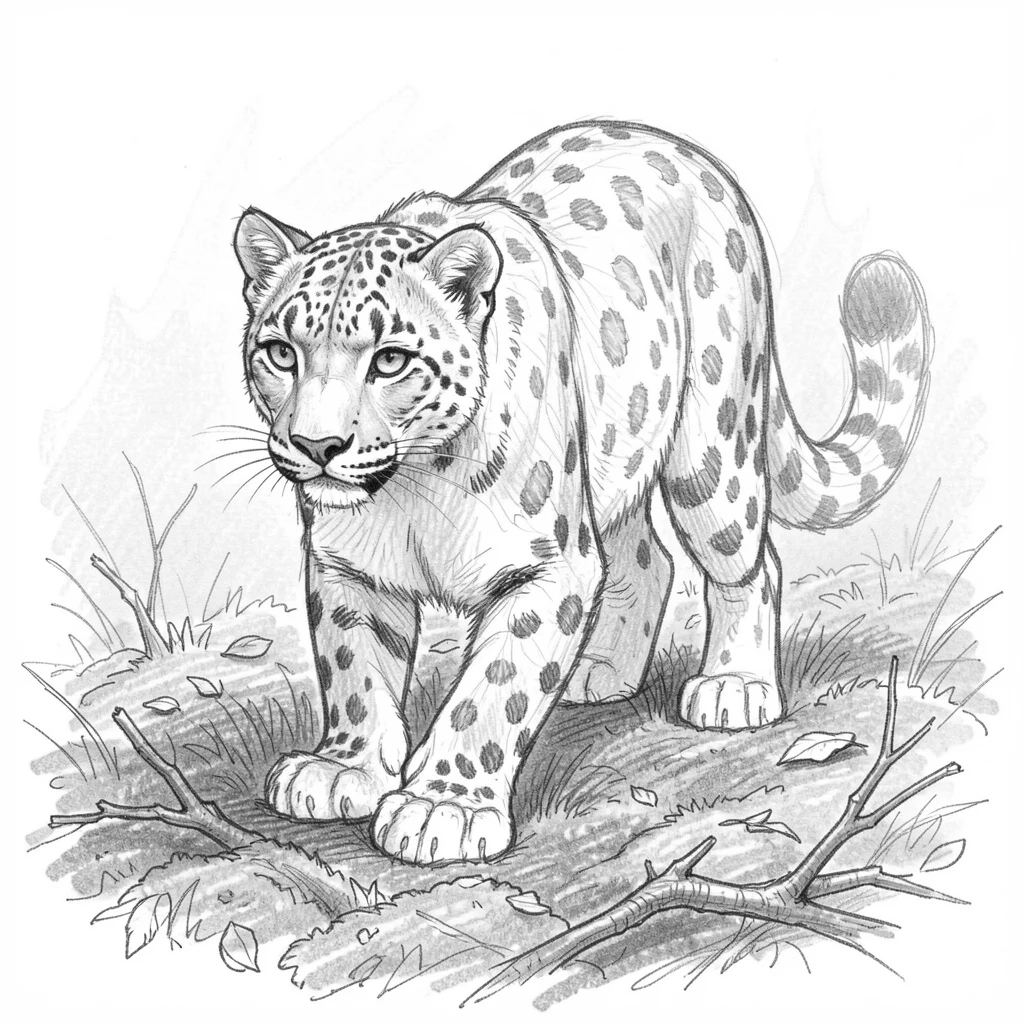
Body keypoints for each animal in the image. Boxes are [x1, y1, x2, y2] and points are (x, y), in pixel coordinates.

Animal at [232, 119, 932, 866]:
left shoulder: (548, 566)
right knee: (649, 556)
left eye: (391, 359)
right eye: (281, 351)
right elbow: (354, 669)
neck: (412, 493)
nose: (317, 445)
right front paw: (343, 768)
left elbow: (493, 690)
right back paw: (601, 671)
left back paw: (734, 686)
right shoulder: (348, 567)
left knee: (750, 559)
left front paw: (443, 807)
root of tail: (694, 158)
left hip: (711, 453)